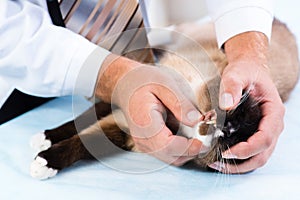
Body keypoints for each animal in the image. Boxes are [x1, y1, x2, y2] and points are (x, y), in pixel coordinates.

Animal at [29, 19, 300, 180]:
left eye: (235, 140)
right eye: (234, 115)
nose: (226, 129)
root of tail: (284, 24)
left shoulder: (121, 131)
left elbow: (84, 143)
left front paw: (45, 160)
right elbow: (80, 123)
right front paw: (44, 141)